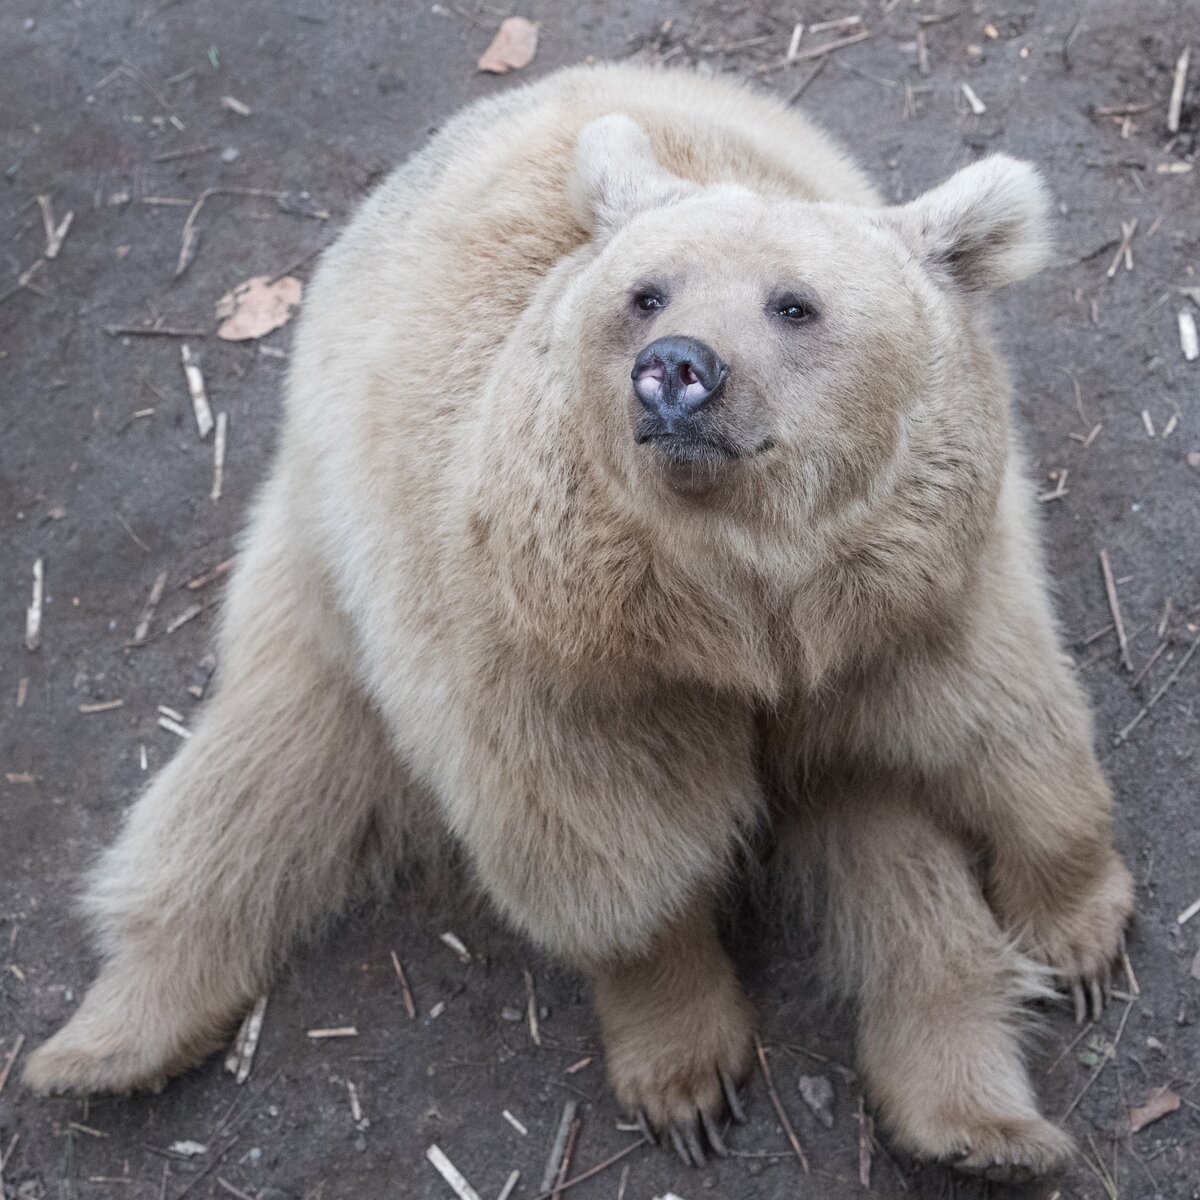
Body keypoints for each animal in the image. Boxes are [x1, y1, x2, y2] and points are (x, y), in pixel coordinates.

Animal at [28, 60, 1132, 1176]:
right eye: (647, 293)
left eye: (795, 304)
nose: (678, 367)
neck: (742, 612)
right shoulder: (551, 658)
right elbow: (610, 855)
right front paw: (686, 1076)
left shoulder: (917, 605)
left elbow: (1010, 733)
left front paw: (1079, 929)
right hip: (319, 566)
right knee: (253, 781)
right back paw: (106, 1041)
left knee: (900, 870)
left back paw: (980, 1124)